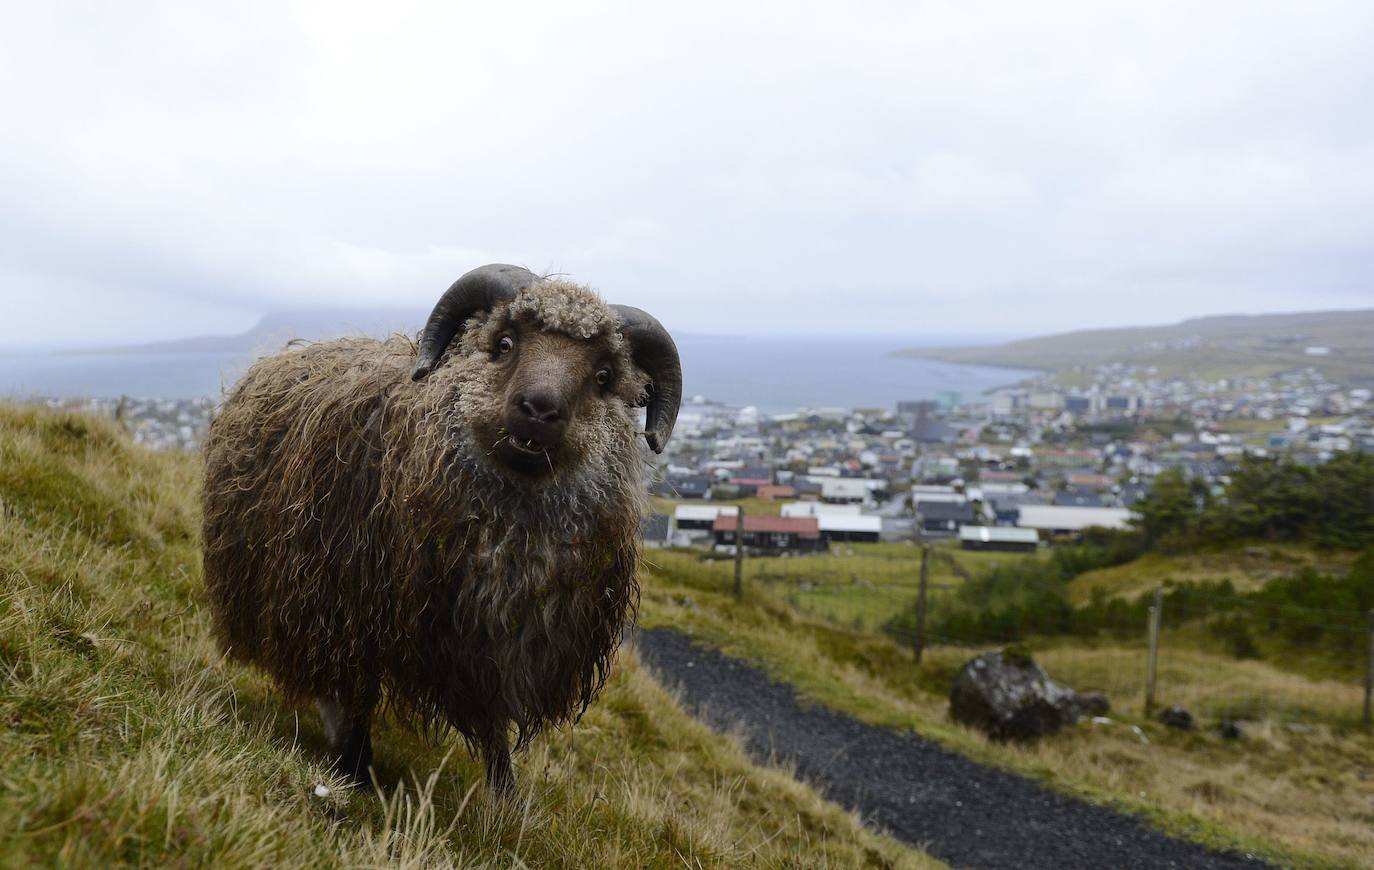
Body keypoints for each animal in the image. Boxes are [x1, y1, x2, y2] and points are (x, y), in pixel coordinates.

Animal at [200, 262, 681, 786]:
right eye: (505, 343)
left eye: (603, 376)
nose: (538, 410)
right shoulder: (359, 607)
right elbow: (355, 693)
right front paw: (354, 768)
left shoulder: (495, 644)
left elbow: (495, 734)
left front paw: (505, 800)